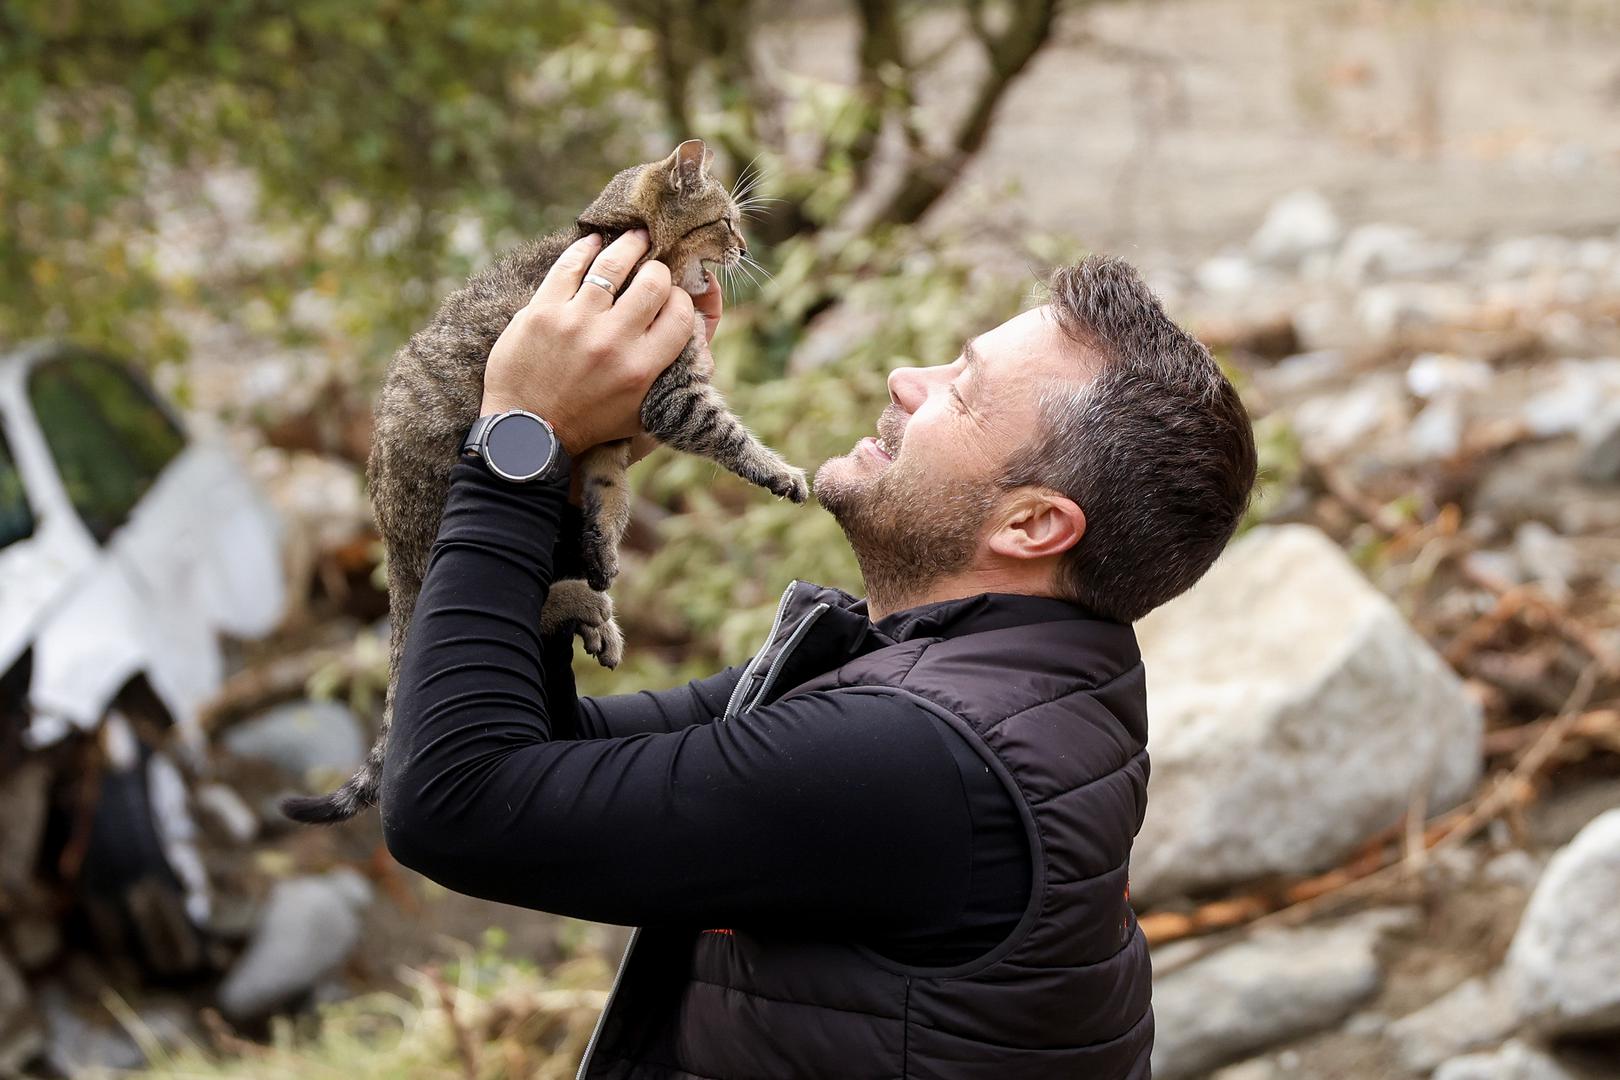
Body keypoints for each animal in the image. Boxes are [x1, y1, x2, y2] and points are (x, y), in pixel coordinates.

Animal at [285, 139, 810, 822]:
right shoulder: (670, 399)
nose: (744, 249)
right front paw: (781, 471)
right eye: (725, 221)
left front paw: (604, 547)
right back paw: (583, 603)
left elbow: (609, 496)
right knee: (524, 607)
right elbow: (729, 437)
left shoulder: (612, 440)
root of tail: (392, 548)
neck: (622, 241)